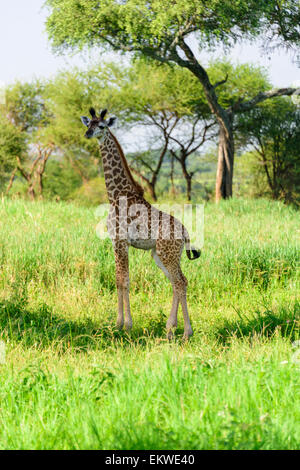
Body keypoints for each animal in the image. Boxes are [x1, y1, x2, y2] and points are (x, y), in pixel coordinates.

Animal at [81, 108, 200, 340]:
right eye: (89, 123)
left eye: (102, 126)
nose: (88, 134)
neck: (117, 194)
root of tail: (185, 233)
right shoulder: (117, 243)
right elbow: (118, 280)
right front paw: (118, 324)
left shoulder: (120, 241)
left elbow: (123, 281)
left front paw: (125, 325)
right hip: (160, 255)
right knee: (178, 282)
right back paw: (171, 329)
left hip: (167, 253)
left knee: (180, 281)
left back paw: (185, 332)